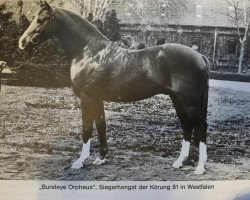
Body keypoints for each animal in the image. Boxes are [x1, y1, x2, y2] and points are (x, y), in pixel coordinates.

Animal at [19, 0, 209, 174]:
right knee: (187, 125)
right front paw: (101, 158)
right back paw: (179, 162)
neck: (90, 52)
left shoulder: (87, 99)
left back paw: (199, 167)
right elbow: (101, 125)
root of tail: (199, 56)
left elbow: (87, 129)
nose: (22, 43)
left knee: (200, 126)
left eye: (42, 19)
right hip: (177, 100)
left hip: (189, 102)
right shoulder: (97, 99)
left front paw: (80, 161)